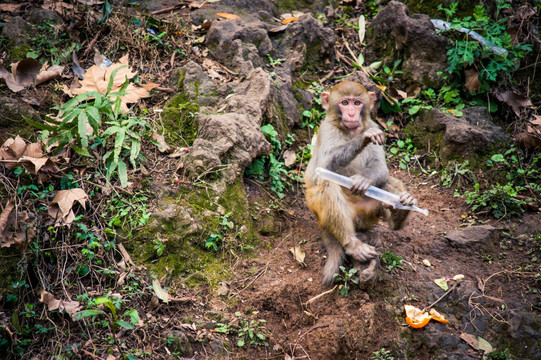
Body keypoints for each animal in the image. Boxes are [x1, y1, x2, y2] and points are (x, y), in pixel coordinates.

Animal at [304, 81, 418, 286]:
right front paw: (363, 138)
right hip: (324, 212)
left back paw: (399, 213)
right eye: (345, 102)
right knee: (327, 184)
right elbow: (323, 168)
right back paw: (353, 244)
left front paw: (364, 179)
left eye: (357, 103)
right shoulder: (326, 129)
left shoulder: (374, 124)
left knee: (385, 182)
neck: (349, 130)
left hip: (368, 215)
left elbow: (380, 167)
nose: (351, 114)